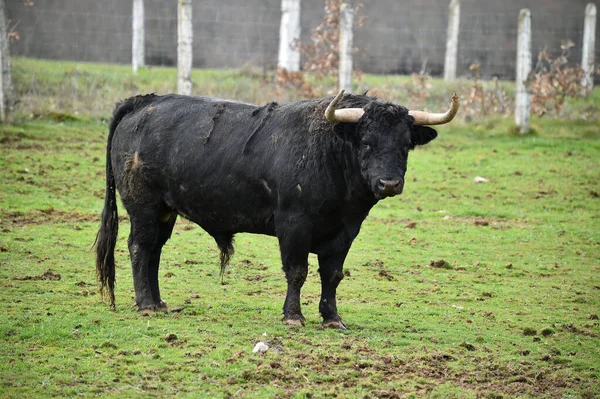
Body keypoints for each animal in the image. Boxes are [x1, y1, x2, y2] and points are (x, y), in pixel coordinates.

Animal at [95, 92, 446, 330]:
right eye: (366, 142)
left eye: (405, 145)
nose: (389, 183)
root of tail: (144, 102)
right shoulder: (293, 225)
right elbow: (297, 271)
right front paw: (293, 316)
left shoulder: (345, 232)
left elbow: (332, 275)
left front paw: (332, 318)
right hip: (144, 207)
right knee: (140, 247)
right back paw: (145, 304)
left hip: (165, 211)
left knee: (154, 251)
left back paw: (158, 302)